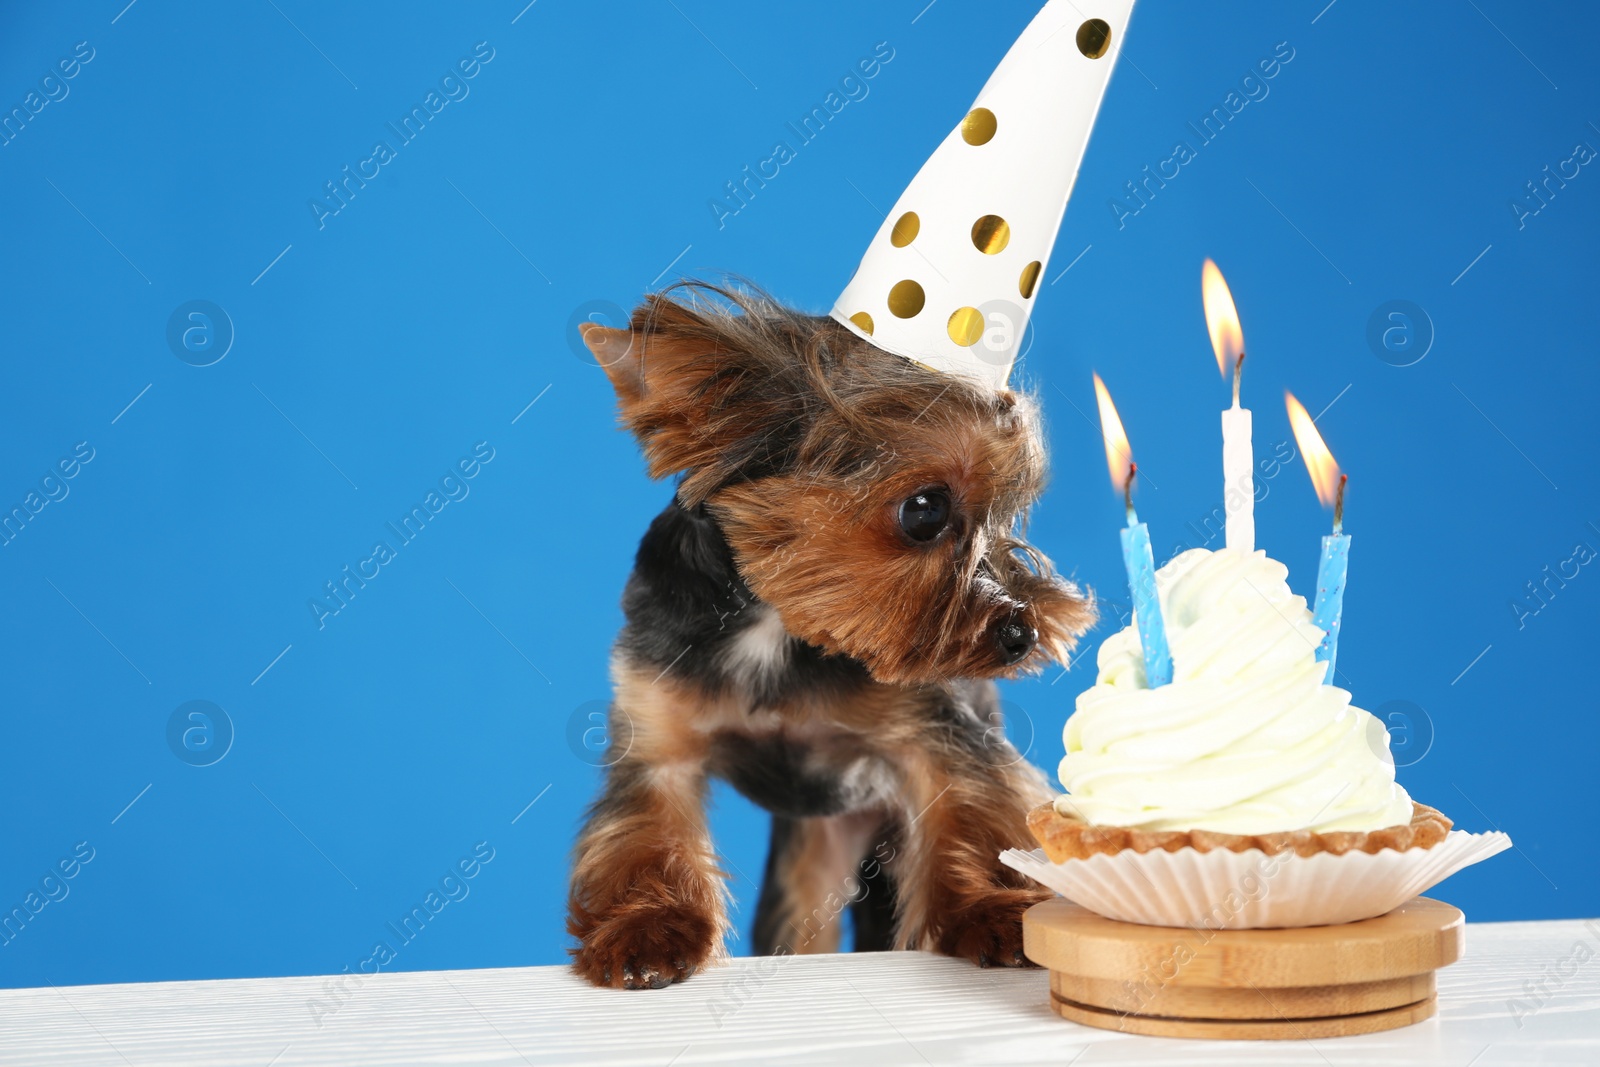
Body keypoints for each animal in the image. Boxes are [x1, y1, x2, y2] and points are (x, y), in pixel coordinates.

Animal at [566, 286, 1100, 991]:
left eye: (1010, 513)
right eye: (925, 510)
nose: (1023, 630)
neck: (778, 624)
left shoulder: (937, 731)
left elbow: (973, 807)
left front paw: (989, 913)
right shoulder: (658, 730)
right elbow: (647, 826)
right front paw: (646, 928)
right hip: (810, 859)